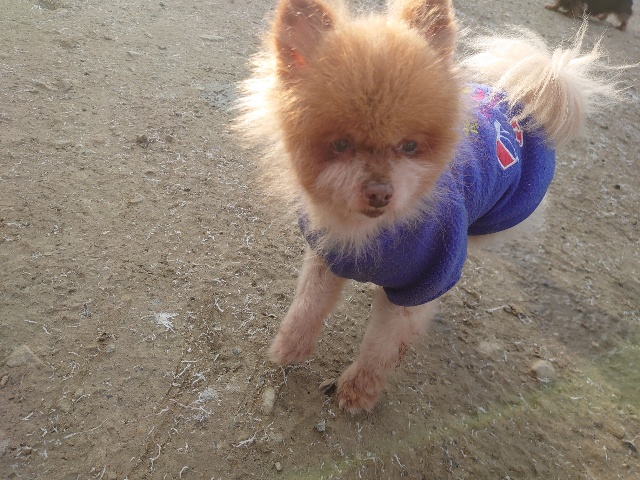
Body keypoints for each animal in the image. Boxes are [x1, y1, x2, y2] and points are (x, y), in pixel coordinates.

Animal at [237, 0, 617, 413]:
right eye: (340, 144)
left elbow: (381, 348)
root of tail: (525, 103)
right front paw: (288, 349)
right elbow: (306, 308)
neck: (373, 233)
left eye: (408, 146)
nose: (380, 192)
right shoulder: (326, 258)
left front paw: (358, 391)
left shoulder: (422, 285)